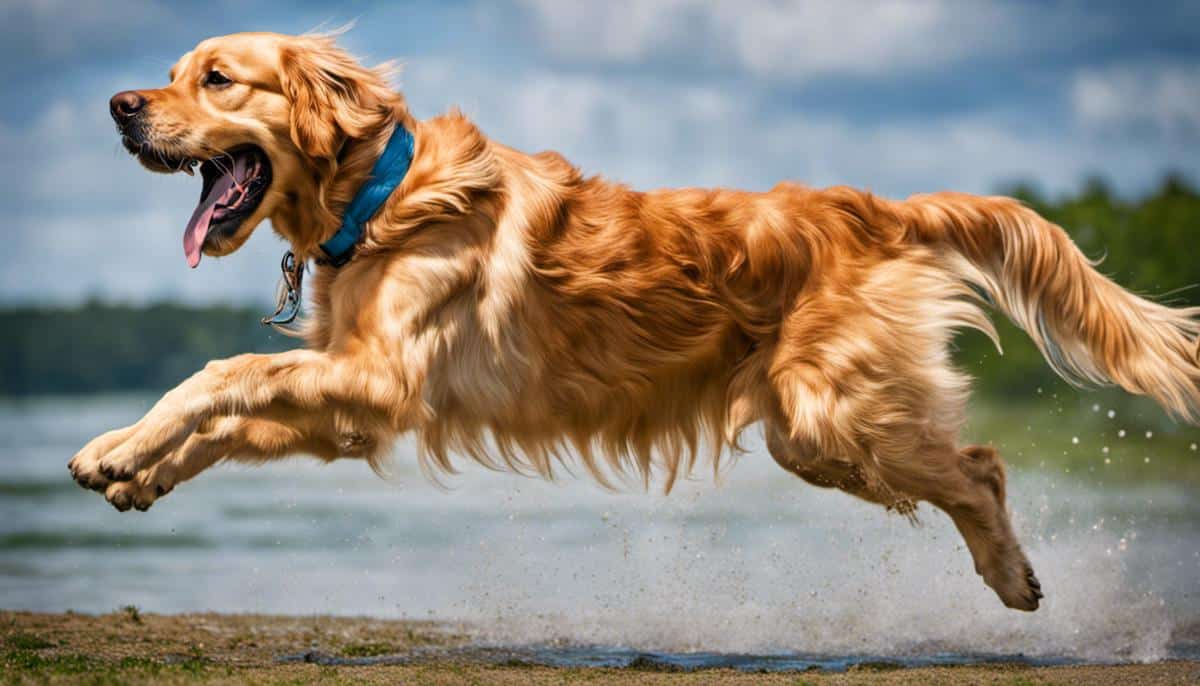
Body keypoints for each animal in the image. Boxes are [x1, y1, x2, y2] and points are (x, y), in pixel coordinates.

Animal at [72, 32, 1200, 611]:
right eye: (170, 73)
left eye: (216, 78)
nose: (119, 105)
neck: (381, 196)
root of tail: (875, 206)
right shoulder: (353, 404)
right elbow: (229, 415)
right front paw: (130, 463)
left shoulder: (384, 380)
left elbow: (218, 373)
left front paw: (118, 443)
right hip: (816, 435)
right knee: (971, 467)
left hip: (830, 417)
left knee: (982, 467)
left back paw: (1013, 577)